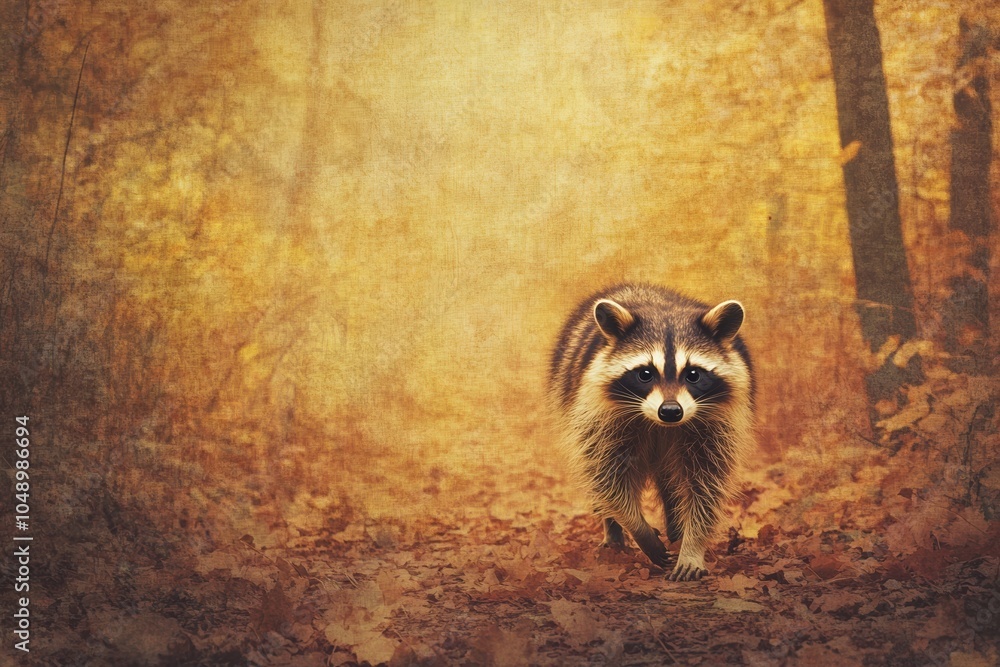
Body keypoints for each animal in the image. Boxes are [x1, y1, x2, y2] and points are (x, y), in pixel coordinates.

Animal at [550, 283, 754, 581]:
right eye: (645, 374)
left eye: (693, 374)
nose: (670, 411)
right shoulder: (597, 415)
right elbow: (607, 475)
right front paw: (638, 528)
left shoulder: (718, 424)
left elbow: (707, 485)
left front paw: (692, 545)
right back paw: (614, 532)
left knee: (672, 482)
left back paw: (676, 528)